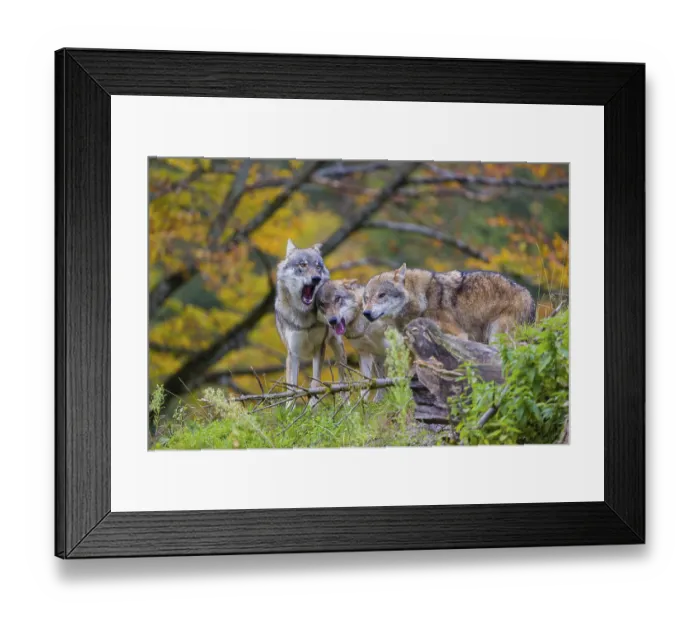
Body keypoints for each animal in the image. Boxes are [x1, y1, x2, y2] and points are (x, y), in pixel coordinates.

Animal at [275, 240, 345, 395]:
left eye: (318, 267)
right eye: (303, 265)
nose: (316, 278)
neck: (304, 317)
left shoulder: (319, 348)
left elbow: (315, 383)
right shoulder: (293, 353)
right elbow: (292, 390)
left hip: (339, 350)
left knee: (344, 382)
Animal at [362, 265, 535, 344]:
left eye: (381, 295)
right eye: (366, 298)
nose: (366, 313)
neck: (422, 299)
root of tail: (530, 297)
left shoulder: (460, 335)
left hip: (498, 336)